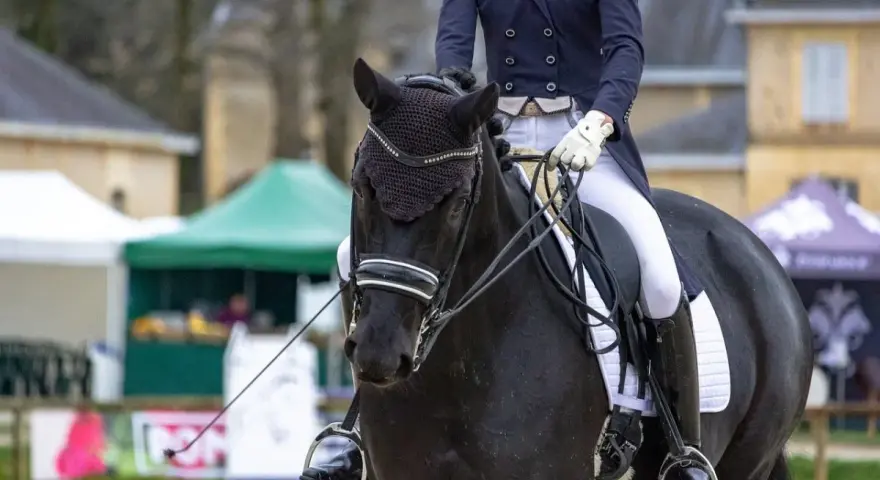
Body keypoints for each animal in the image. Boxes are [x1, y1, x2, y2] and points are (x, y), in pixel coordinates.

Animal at [338, 58, 812, 480]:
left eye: (456, 204)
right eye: (361, 188)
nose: (380, 352)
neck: (460, 368)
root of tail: (756, 248)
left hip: (747, 460)